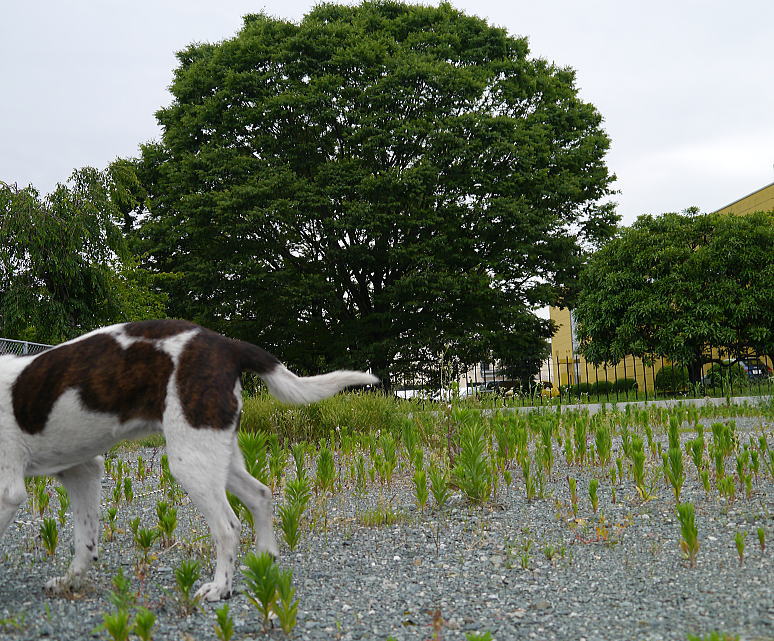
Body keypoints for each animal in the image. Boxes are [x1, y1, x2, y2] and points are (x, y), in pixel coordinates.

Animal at [0, 320, 376, 600]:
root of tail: (228, 345)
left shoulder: (8, 491)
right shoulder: (82, 471)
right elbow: (85, 541)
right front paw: (70, 583)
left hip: (191, 461)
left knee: (228, 526)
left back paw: (220, 587)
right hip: (216, 455)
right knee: (260, 495)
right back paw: (263, 559)